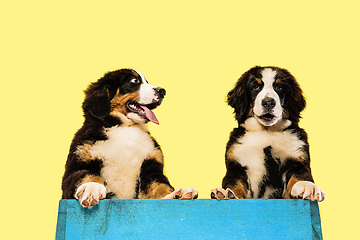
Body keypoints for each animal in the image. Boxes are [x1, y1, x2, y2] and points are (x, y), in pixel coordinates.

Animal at [61, 68, 197, 207]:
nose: (162, 91)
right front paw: (92, 188)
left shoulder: (151, 167)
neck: (125, 128)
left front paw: (178, 194)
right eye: (134, 81)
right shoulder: (79, 161)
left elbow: (160, 185)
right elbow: (87, 175)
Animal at [211, 66, 326, 202]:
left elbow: (299, 176)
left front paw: (308, 187)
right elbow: (234, 183)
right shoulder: (236, 165)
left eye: (279, 88)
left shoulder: (297, 159)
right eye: (255, 86)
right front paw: (225, 193)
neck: (266, 132)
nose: (268, 102)